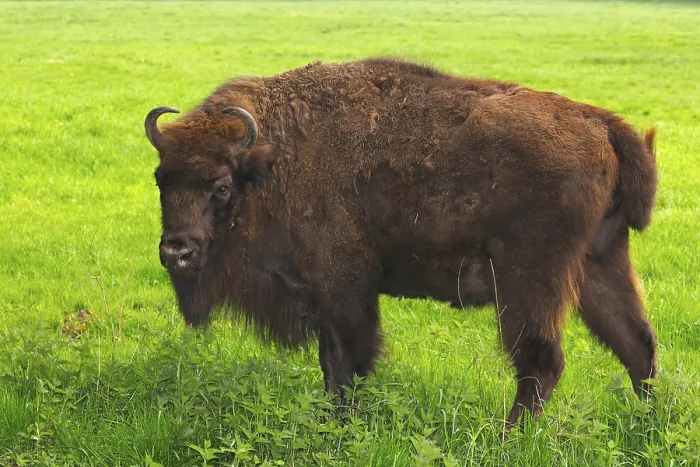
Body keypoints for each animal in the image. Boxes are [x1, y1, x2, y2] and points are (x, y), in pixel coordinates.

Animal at [144, 58, 658, 426]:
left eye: (221, 186)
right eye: (161, 180)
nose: (176, 251)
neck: (272, 159)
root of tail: (599, 122)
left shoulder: (344, 289)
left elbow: (346, 364)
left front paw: (343, 426)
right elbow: (333, 365)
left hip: (528, 280)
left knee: (541, 360)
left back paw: (508, 438)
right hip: (599, 263)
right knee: (637, 344)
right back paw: (650, 424)